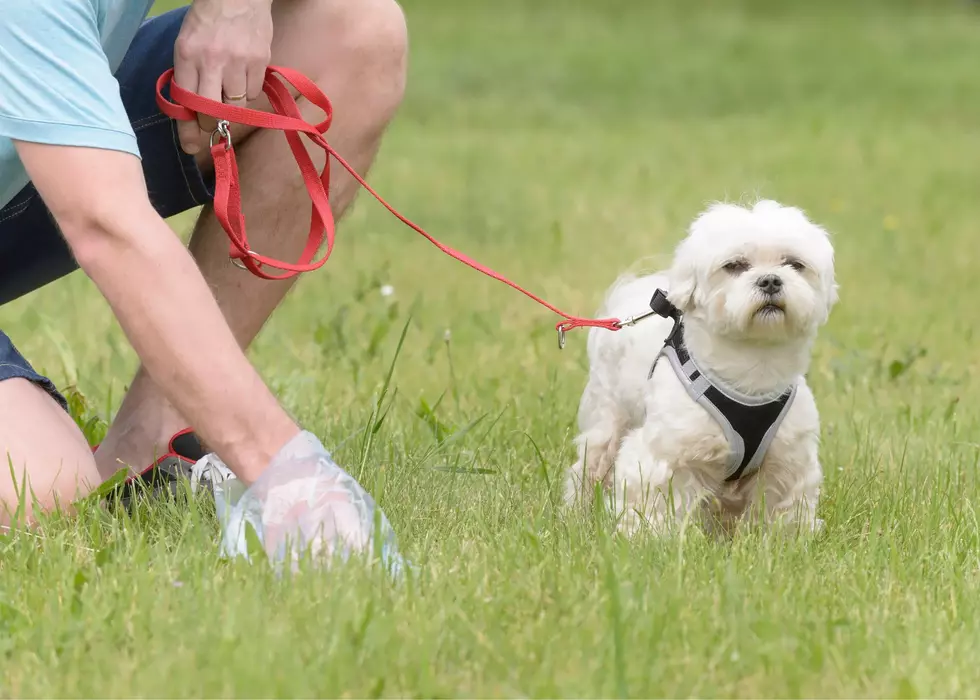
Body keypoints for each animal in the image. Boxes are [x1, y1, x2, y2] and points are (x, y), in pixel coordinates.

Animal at [564, 200, 840, 540]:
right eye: (734, 265)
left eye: (794, 264)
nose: (771, 280)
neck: (752, 369)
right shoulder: (666, 454)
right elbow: (655, 498)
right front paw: (650, 539)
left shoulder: (787, 460)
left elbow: (782, 510)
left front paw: (782, 542)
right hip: (609, 420)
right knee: (589, 467)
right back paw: (577, 516)